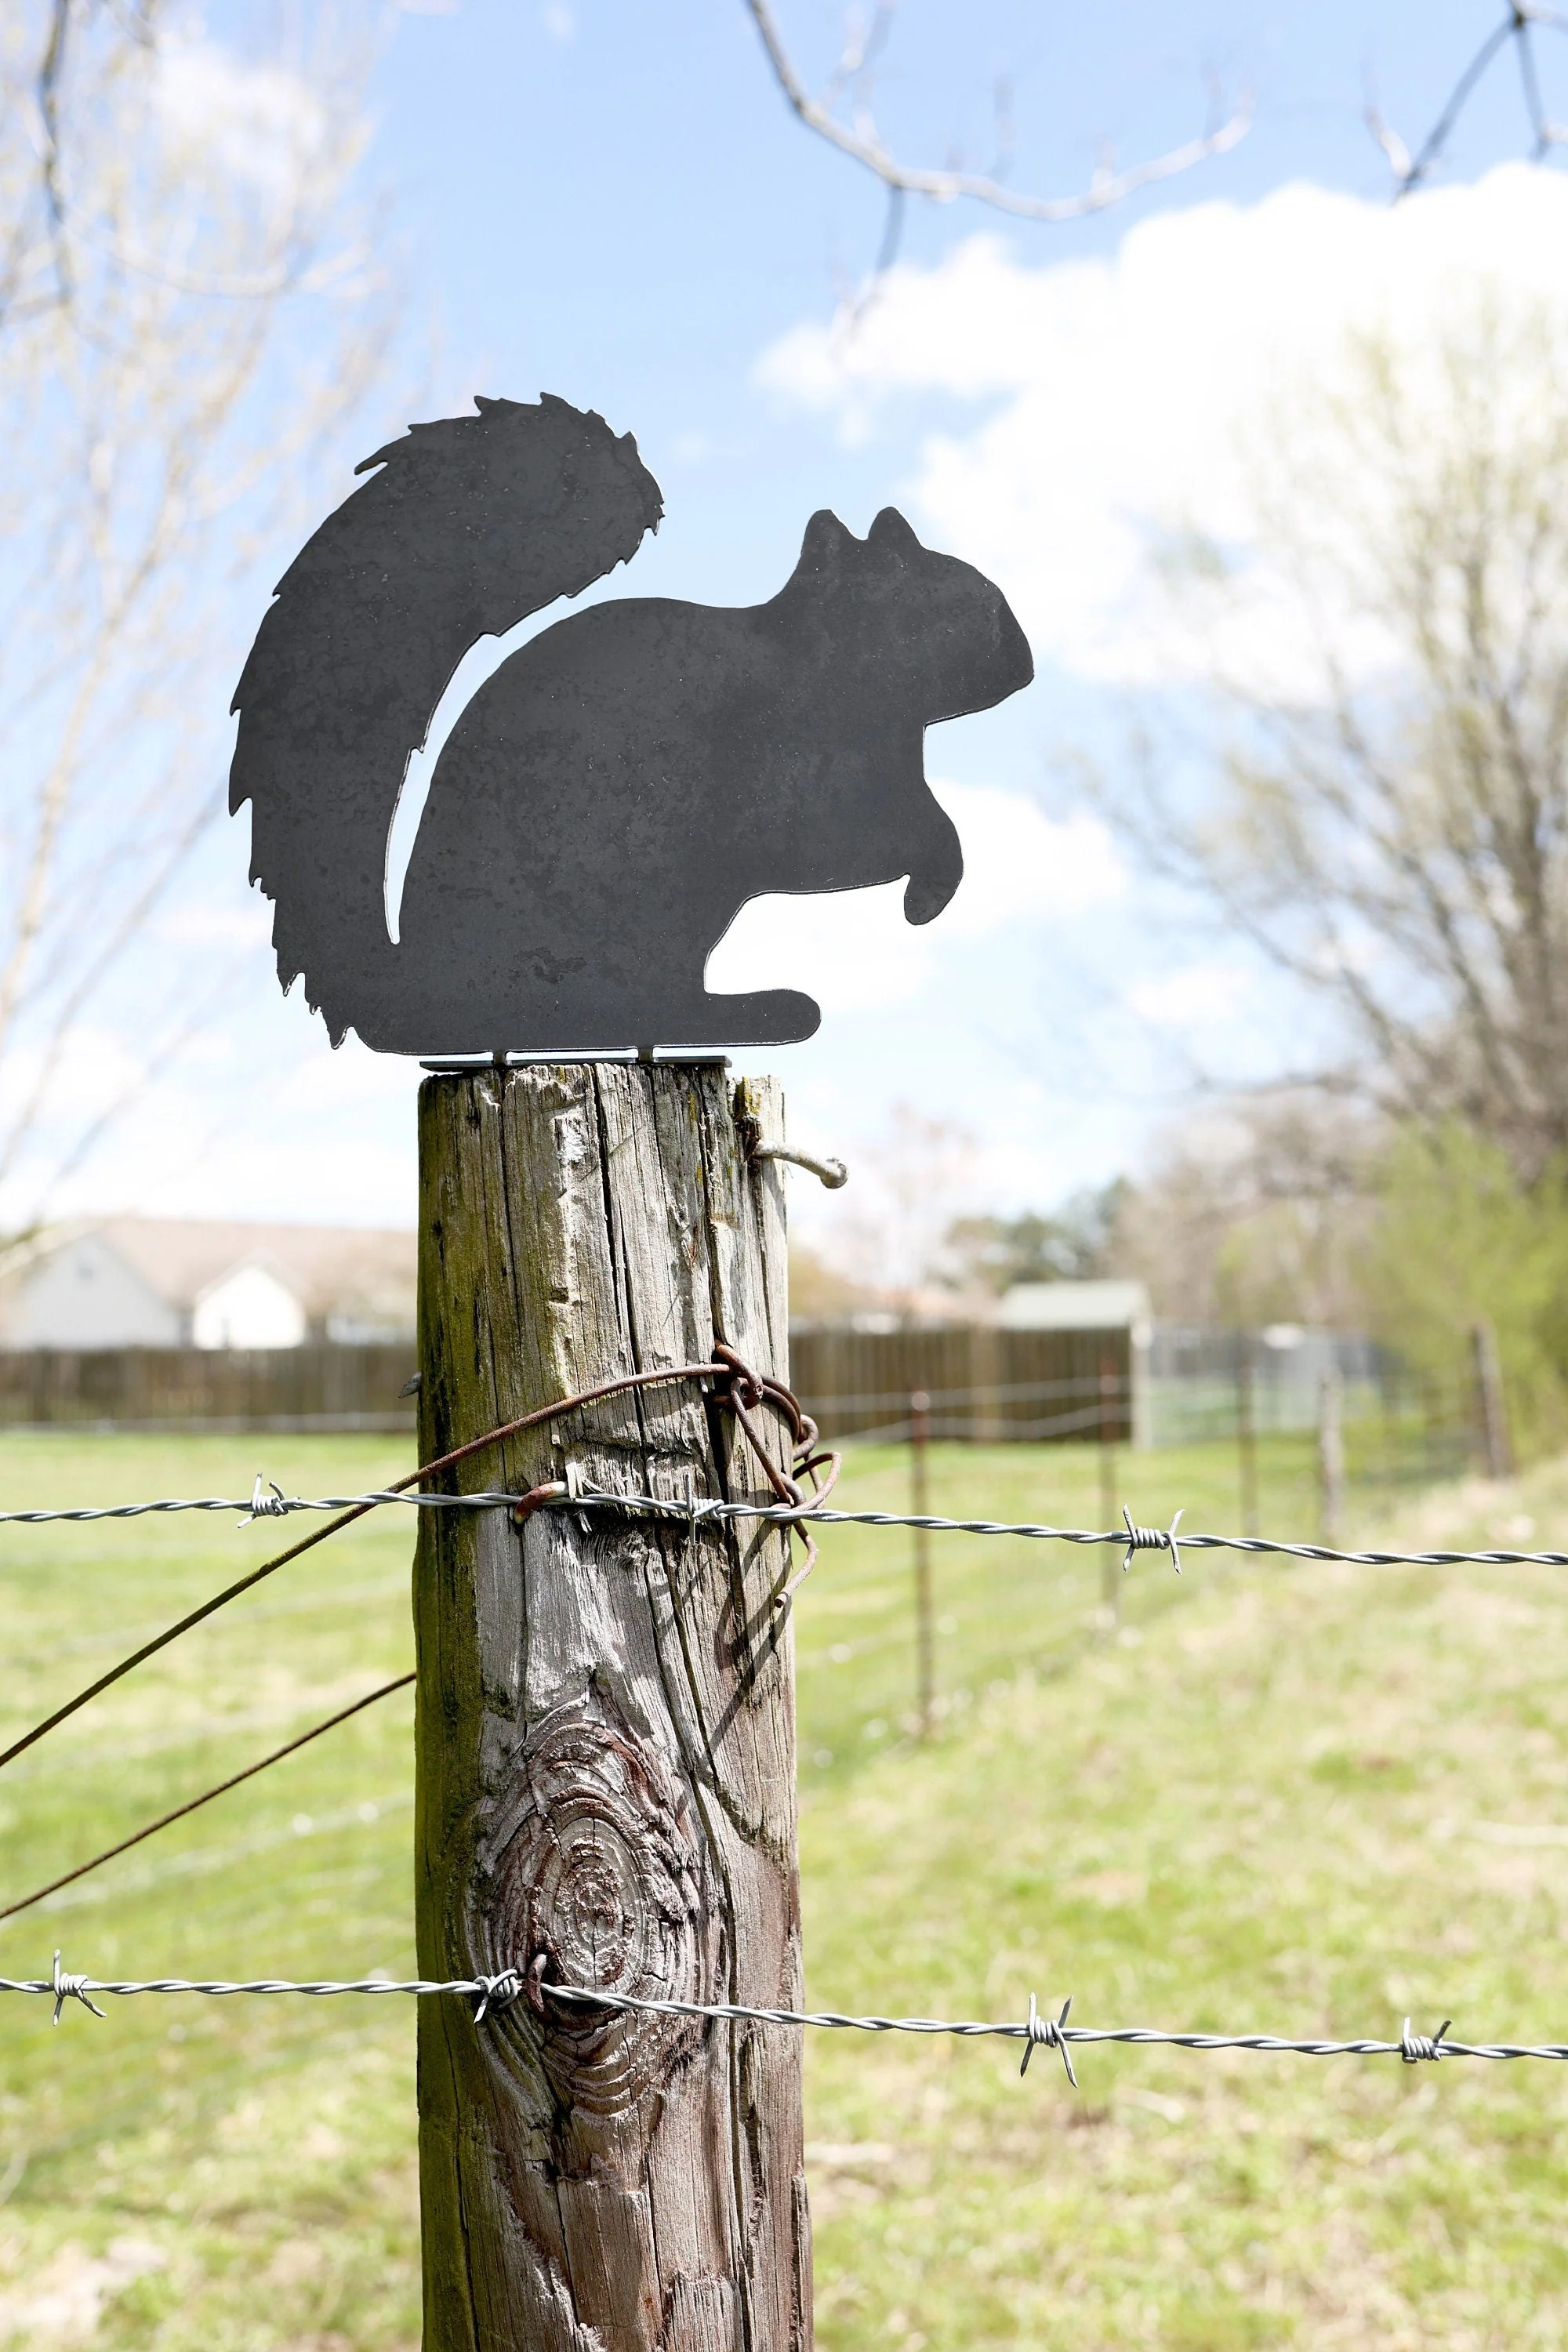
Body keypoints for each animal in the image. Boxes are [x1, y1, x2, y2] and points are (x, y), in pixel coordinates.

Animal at [230, 394, 1033, 1055]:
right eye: (948, 606)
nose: (1023, 663)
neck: (832, 669)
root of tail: (418, 996)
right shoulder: (808, 784)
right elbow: (880, 840)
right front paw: (929, 893)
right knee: (629, 1006)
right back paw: (746, 1013)